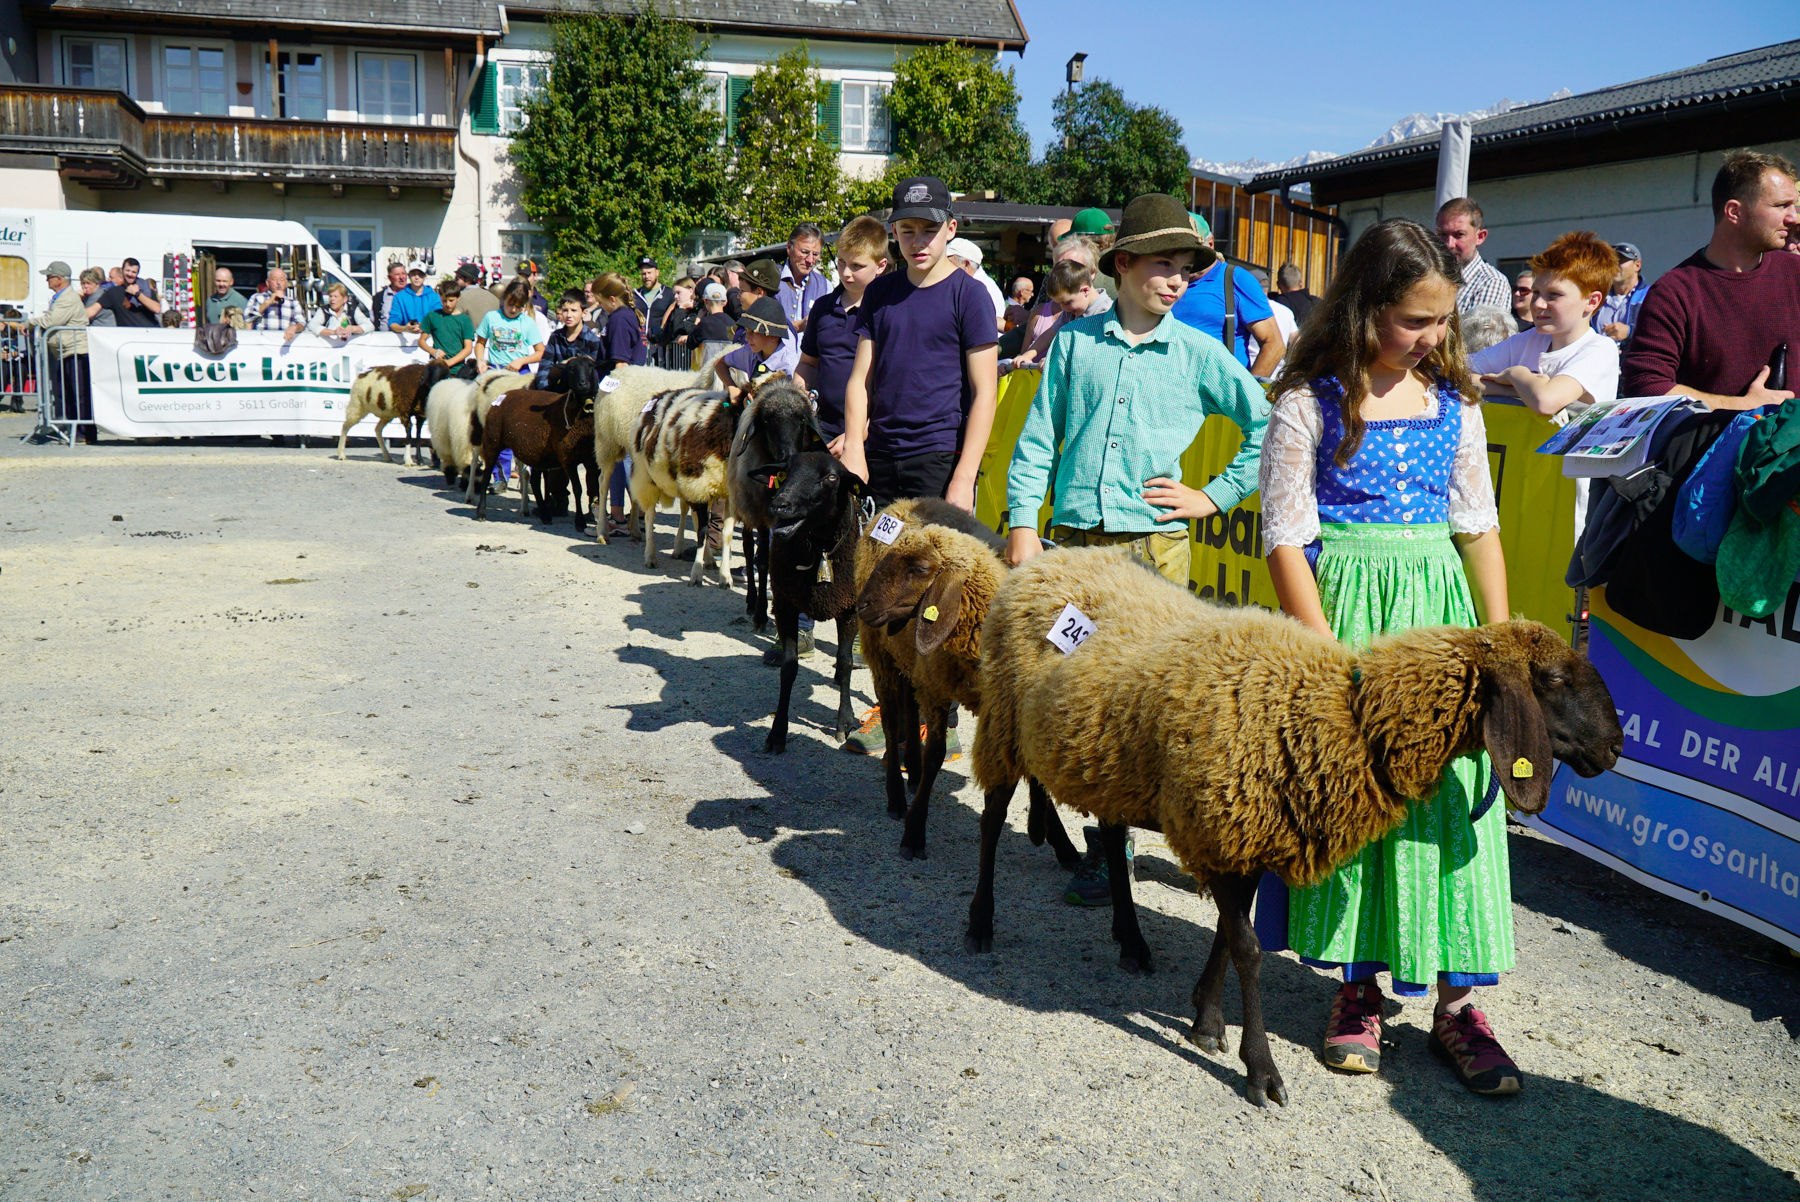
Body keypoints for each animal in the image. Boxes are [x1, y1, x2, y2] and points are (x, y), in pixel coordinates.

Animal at [849, 493, 1072, 867]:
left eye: (920, 568)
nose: (863, 605)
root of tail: (901, 502)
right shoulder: (938, 688)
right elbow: (937, 754)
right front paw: (914, 833)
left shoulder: (998, 704)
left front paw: (1059, 840)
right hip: (880, 651)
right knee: (892, 720)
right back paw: (896, 795)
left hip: (909, 656)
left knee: (908, 705)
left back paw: (912, 769)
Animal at [979, 547, 1627, 1108]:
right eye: (1553, 678)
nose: (1616, 747)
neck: (1349, 716)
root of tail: (1050, 556)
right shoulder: (1223, 827)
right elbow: (1247, 948)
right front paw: (1260, 1069)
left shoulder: (1242, 833)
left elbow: (1227, 935)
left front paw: (1206, 1020)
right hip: (1002, 721)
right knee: (991, 819)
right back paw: (979, 926)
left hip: (1110, 764)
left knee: (1113, 843)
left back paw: (1131, 941)